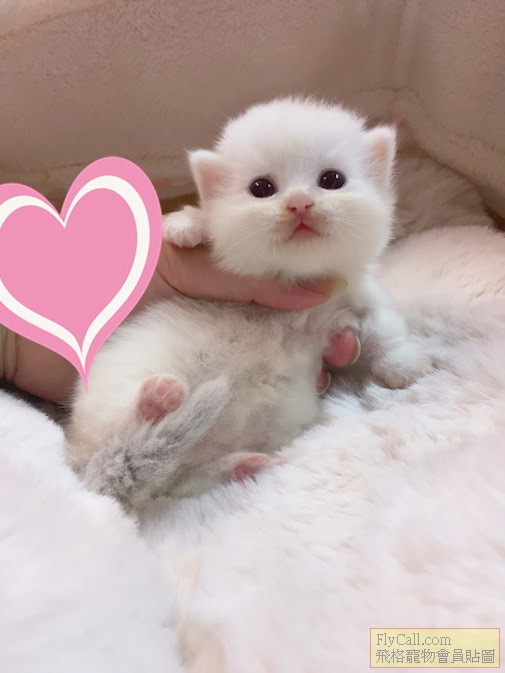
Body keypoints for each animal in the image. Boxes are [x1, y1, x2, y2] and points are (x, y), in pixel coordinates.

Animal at [65, 97, 431, 509]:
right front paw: (187, 225)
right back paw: (157, 399)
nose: (299, 203)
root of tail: (85, 462)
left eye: (332, 180)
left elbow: (385, 328)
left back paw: (237, 466)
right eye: (262, 188)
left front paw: (403, 367)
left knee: (178, 478)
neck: (296, 278)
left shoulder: (360, 294)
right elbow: (211, 222)